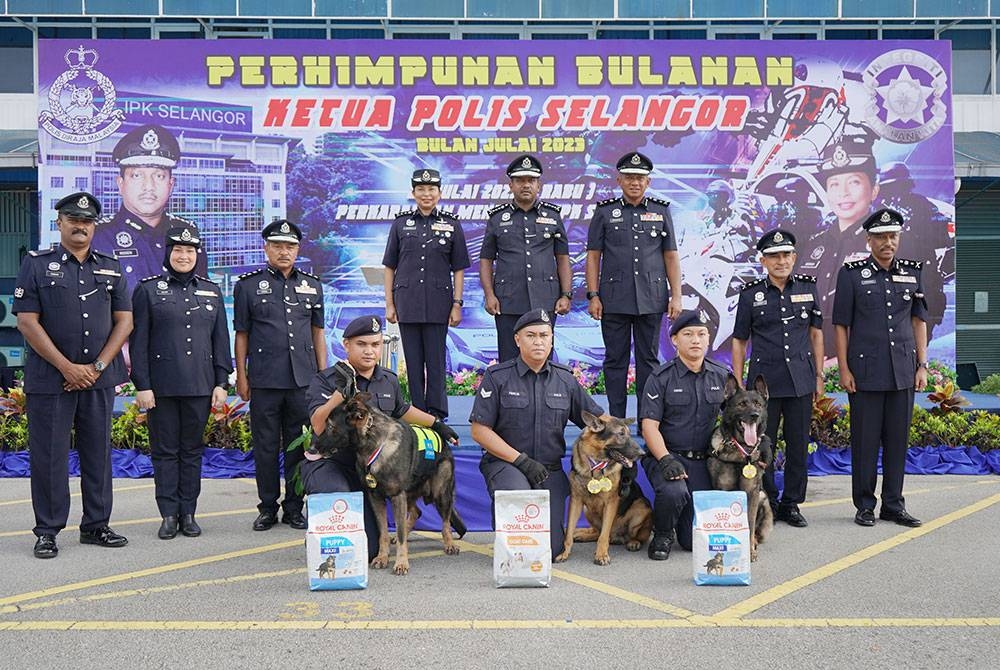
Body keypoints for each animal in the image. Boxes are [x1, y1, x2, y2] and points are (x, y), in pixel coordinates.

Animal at [318, 394, 466, 576]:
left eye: (331, 426)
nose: (312, 446)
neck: (374, 443)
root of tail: (444, 442)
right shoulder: (376, 498)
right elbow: (383, 533)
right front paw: (382, 557)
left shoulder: (397, 497)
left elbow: (401, 533)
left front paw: (401, 562)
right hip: (409, 494)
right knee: (417, 512)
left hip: (440, 494)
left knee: (445, 523)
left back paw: (450, 544)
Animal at [552, 414, 652, 568]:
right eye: (621, 434)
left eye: (629, 434)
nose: (643, 453)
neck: (595, 464)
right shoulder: (576, 501)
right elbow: (568, 531)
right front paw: (564, 551)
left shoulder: (611, 503)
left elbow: (603, 536)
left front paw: (601, 555)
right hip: (587, 510)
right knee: (596, 531)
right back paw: (581, 533)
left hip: (641, 506)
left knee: (633, 535)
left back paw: (633, 542)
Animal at [708, 376, 776, 564]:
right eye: (742, 404)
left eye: (758, 404)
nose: (754, 415)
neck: (741, 451)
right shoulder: (721, 490)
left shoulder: (752, 493)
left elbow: (750, 526)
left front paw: (750, 551)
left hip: (763, 497)